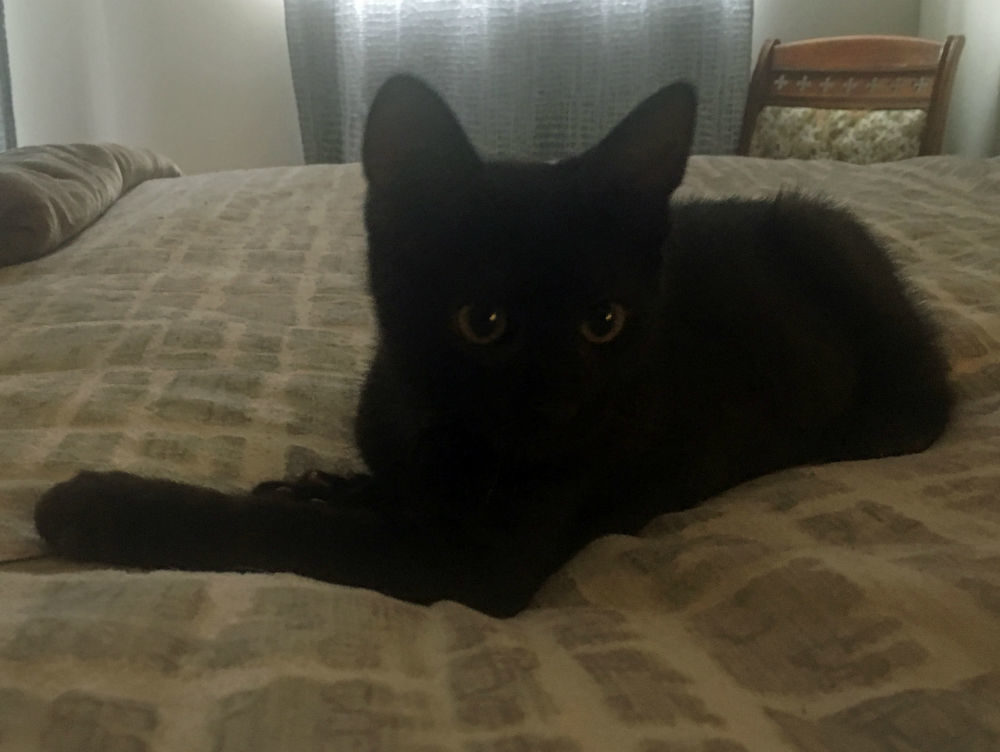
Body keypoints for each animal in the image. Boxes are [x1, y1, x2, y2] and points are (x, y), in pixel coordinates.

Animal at [34, 75, 952, 617]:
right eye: (483, 321)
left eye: (605, 321)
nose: (563, 404)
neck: (433, 422)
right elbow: (362, 494)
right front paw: (329, 484)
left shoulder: (467, 565)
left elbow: (279, 534)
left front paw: (98, 507)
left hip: (832, 243)